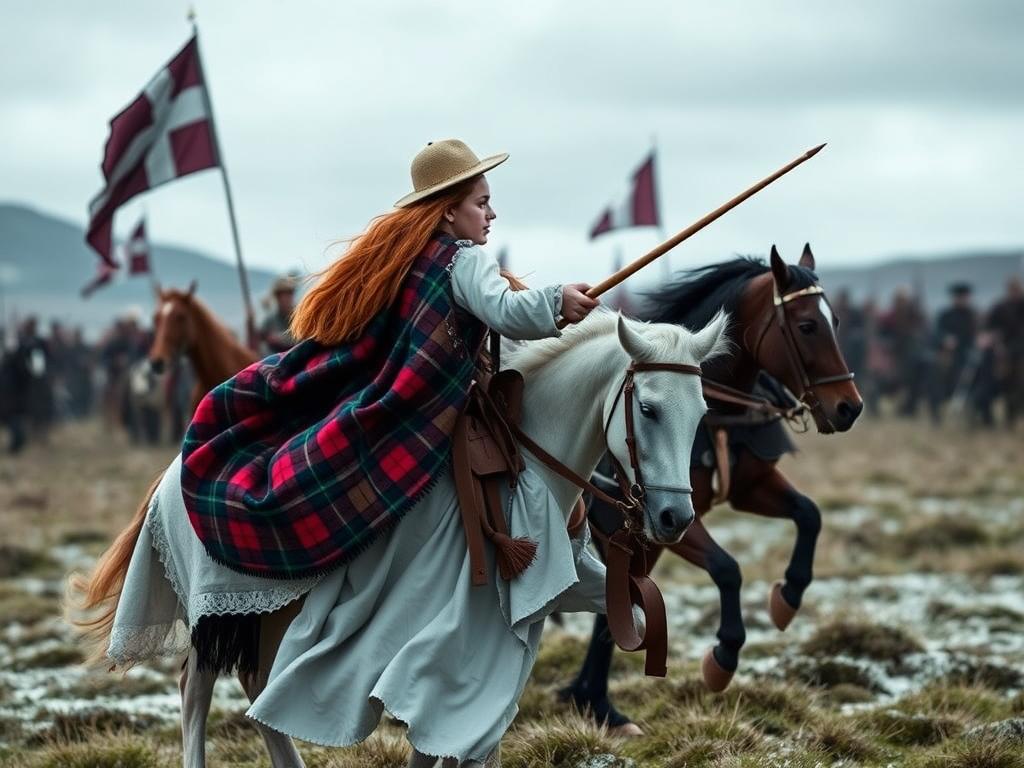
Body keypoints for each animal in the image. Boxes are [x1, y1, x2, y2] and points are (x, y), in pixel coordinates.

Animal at [68, 309, 729, 765]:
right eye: (648, 409)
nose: (674, 518)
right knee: (195, 690)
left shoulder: (567, 585)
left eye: (701, 412)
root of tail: (169, 474)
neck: (525, 460)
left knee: (258, 690)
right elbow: (436, 720)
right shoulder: (452, 631)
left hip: (274, 612)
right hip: (218, 610)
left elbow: (626, 618)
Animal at [569, 244, 864, 733]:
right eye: (807, 325)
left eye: (836, 321)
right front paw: (723, 656)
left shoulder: (742, 490)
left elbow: (809, 514)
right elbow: (727, 569)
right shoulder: (659, 522)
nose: (849, 408)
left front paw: (788, 596)